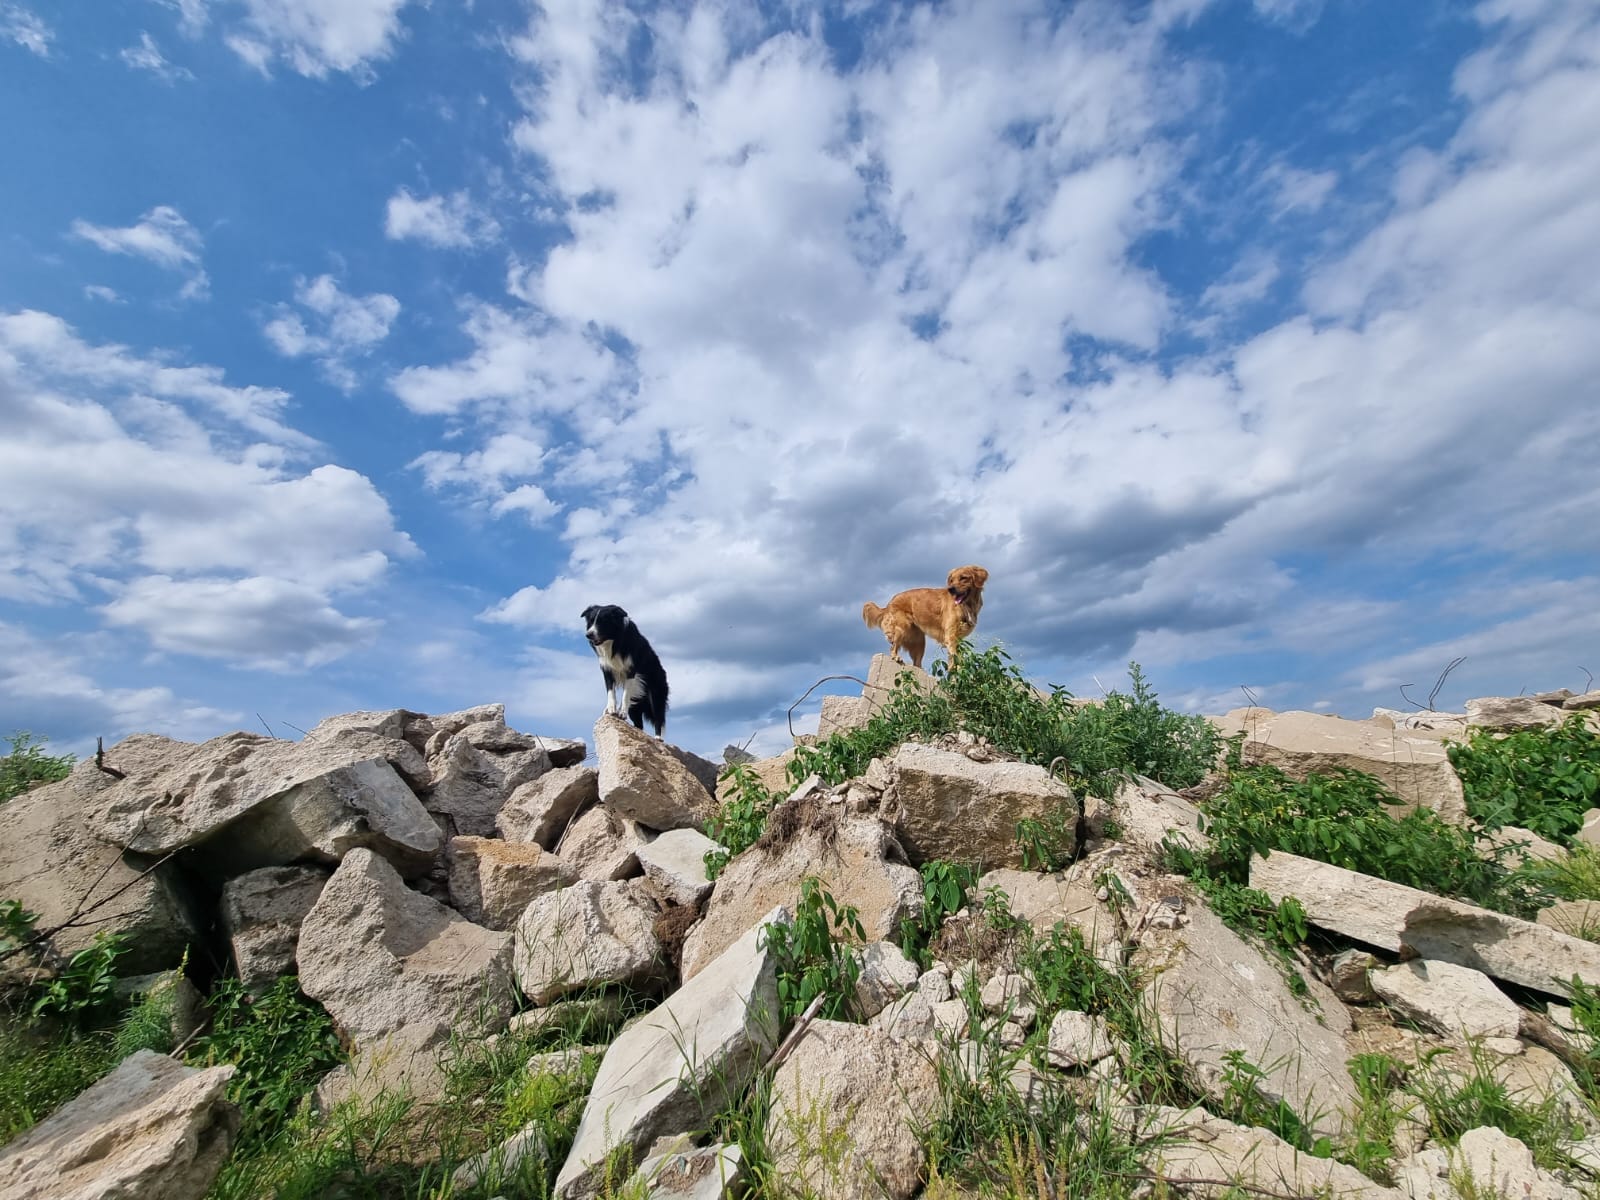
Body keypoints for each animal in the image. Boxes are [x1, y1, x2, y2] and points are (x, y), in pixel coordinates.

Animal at [582, 604, 668, 739]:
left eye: (603, 622)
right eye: (591, 622)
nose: (588, 635)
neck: (614, 642)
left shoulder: (631, 670)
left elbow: (625, 694)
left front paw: (622, 713)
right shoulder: (607, 670)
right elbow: (610, 691)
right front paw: (611, 709)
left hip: (656, 693)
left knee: (658, 717)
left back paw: (658, 738)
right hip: (636, 704)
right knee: (639, 724)